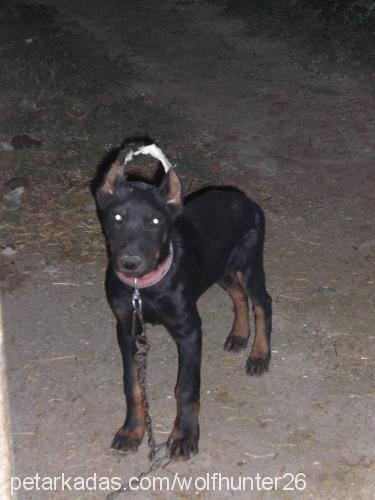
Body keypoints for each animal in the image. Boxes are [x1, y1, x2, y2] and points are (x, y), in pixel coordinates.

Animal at [93, 143, 272, 458]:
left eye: (155, 221)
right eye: (117, 219)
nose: (130, 263)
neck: (145, 287)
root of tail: (244, 198)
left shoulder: (189, 330)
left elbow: (186, 388)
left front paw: (185, 436)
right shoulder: (127, 328)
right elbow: (132, 385)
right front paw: (131, 430)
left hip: (249, 265)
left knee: (263, 303)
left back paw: (259, 355)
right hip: (220, 268)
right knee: (238, 296)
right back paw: (239, 335)